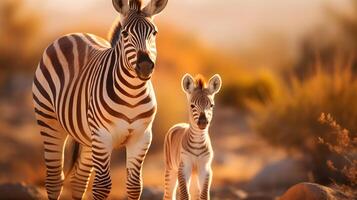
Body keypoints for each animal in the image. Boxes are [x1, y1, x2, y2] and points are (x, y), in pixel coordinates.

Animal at [31, 0, 168, 199]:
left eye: (154, 33)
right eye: (125, 33)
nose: (144, 66)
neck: (132, 94)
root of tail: (74, 34)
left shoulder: (141, 137)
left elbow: (134, 186)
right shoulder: (103, 135)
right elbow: (102, 186)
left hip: (89, 138)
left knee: (79, 181)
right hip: (49, 121)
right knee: (55, 179)